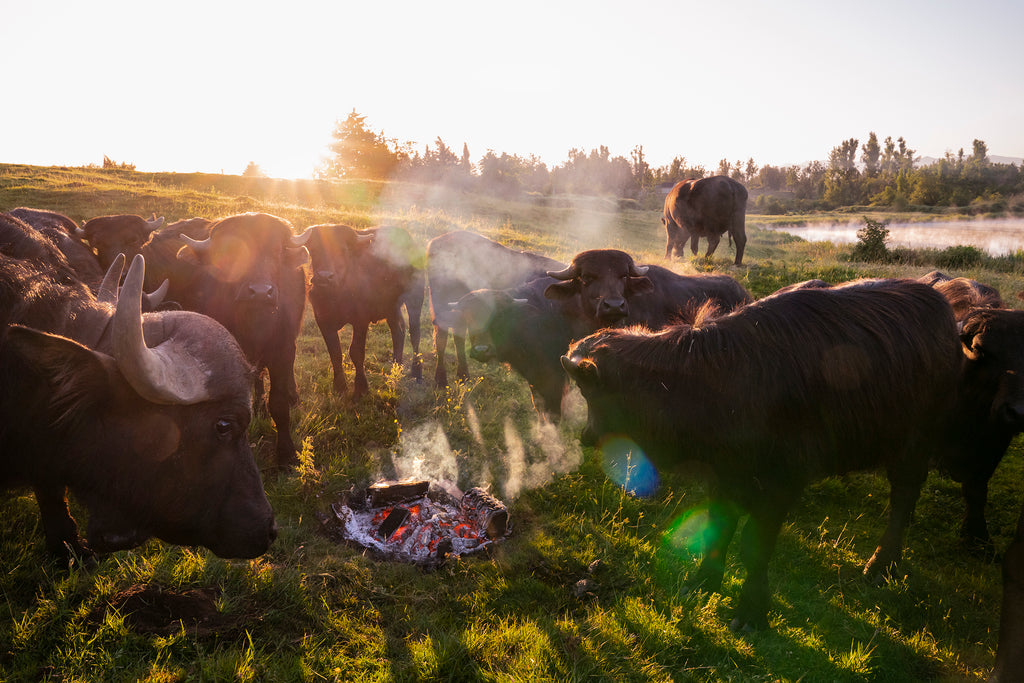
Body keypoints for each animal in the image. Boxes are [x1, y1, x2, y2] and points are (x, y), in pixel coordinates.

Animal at [299, 222, 423, 397]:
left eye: (343, 250)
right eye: (314, 249)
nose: (324, 277)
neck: (336, 294)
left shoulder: (361, 320)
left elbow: (356, 351)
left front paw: (361, 387)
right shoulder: (323, 321)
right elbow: (335, 352)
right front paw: (340, 386)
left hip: (415, 299)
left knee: (415, 333)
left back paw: (417, 372)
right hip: (391, 307)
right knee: (398, 330)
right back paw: (396, 365)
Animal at [425, 231, 569, 387]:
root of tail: (437, 241)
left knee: (458, 336)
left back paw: (463, 376)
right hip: (441, 305)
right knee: (442, 338)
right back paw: (441, 379)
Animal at [561, 278, 966, 630]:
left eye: (588, 392)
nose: (586, 435)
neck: (714, 382)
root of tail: (943, 308)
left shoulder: (780, 483)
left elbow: (754, 547)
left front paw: (751, 611)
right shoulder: (723, 475)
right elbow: (719, 528)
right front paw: (703, 582)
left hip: (913, 445)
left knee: (903, 497)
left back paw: (881, 564)